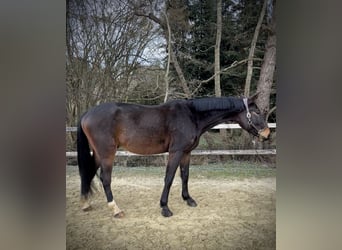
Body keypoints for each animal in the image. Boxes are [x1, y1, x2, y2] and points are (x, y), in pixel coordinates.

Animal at [77, 93, 270, 217]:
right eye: (257, 112)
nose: (267, 134)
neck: (191, 115)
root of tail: (87, 113)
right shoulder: (175, 152)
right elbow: (169, 178)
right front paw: (165, 208)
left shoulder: (186, 153)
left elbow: (185, 175)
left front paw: (188, 199)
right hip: (107, 153)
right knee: (105, 179)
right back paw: (116, 209)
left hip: (98, 153)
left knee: (88, 173)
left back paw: (85, 204)